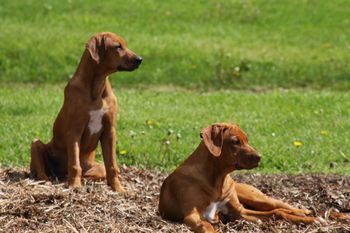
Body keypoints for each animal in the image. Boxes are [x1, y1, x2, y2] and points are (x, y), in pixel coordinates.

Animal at [30, 31, 142, 192]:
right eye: (117, 47)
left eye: (125, 45)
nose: (140, 59)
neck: (97, 87)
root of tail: (60, 174)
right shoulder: (74, 131)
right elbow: (74, 165)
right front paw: (75, 185)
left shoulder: (109, 131)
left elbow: (112, 166)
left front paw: (118, 188)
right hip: (36, 144)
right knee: (42, 170)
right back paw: (48, 180)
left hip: (97, 167)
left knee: (97, 171)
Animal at [158, 123, 322, 232]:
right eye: (235, 141)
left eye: (247, 140)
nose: (260, 157)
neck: (217, 179)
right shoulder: (192, 216)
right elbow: (206, 225)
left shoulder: (239, 212)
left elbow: (277, 212)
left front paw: (310, 220)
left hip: (256, 198)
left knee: (280, 206)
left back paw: (305, 213)